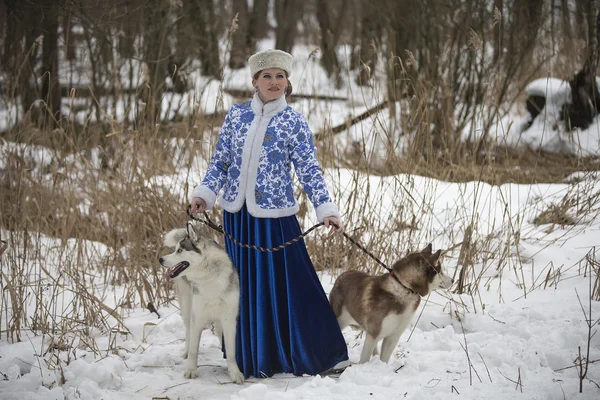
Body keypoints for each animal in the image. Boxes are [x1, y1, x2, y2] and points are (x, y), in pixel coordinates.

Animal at [161, 223, 245, 382]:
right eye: (175, 249)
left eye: (179, 250)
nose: (160, 259)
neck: (210, 279)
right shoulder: (197, 318)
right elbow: (194, 350)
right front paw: (191, 371)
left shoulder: (229, 319)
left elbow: (231, 352)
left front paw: (235, 373)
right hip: (187, 307)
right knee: (188, 331)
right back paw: (186, 351)